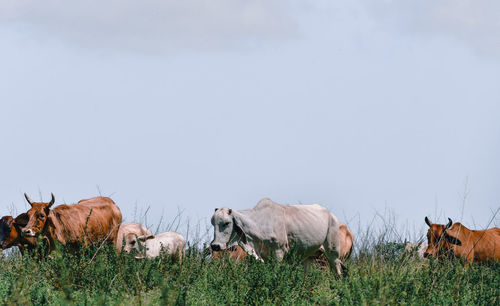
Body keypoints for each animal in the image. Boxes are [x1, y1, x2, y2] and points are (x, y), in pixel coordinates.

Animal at [209, 198, 346, 274]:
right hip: (307, 256)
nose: (215, 246)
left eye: (227, 223)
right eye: (212, 223)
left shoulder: (279, 251)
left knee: (337, 271)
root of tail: (331, 215)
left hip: (332, 252)